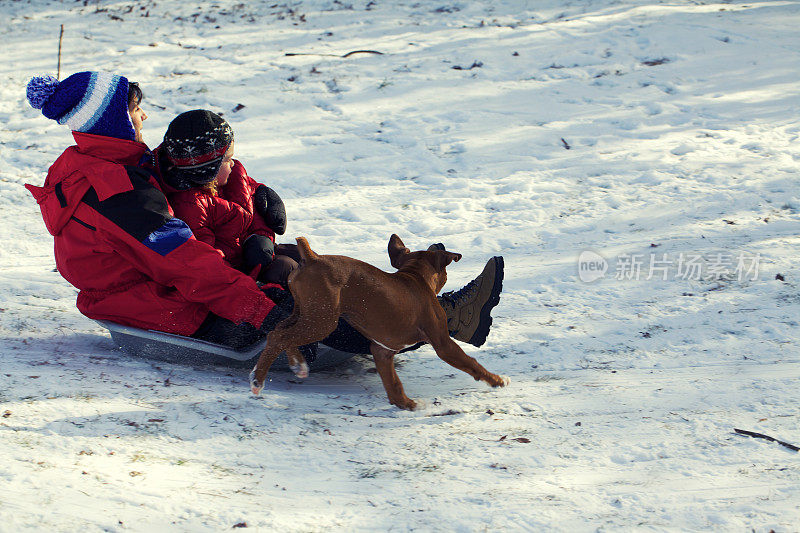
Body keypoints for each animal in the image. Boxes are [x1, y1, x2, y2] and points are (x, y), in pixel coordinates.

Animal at [250, 233, 506, 408]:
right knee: (279, 336)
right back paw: (258, 381)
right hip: (322, 321)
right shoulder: (443, 344)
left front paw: (405, 404)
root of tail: (313, 258)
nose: (438, 244)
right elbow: (471, 363)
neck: (415, 279)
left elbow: (392, 383)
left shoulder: (382, 351)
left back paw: (297, 365)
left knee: (277, 330)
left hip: (302, 312)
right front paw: (495, 380)